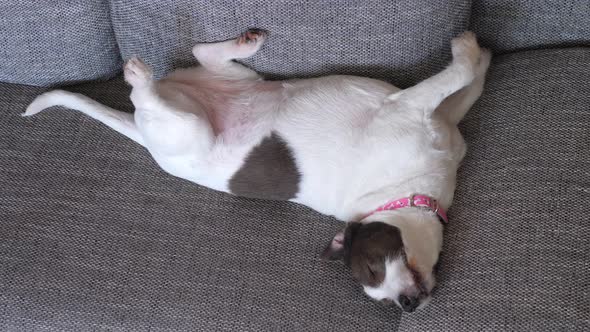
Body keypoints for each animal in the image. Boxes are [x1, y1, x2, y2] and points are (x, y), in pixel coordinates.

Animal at [25, 29, 492, 312]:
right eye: (374, 272)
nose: (407, 305)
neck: (398, 192)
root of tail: (144, 132)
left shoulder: (443, 120)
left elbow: (469, 88)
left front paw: (483, 57)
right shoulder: (407, 105)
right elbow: (458, 75)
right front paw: (468, 50)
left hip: (235, 80)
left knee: (202, 55)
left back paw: (241, 44)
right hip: (191, 128)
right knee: (145, 93)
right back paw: (139, 74)